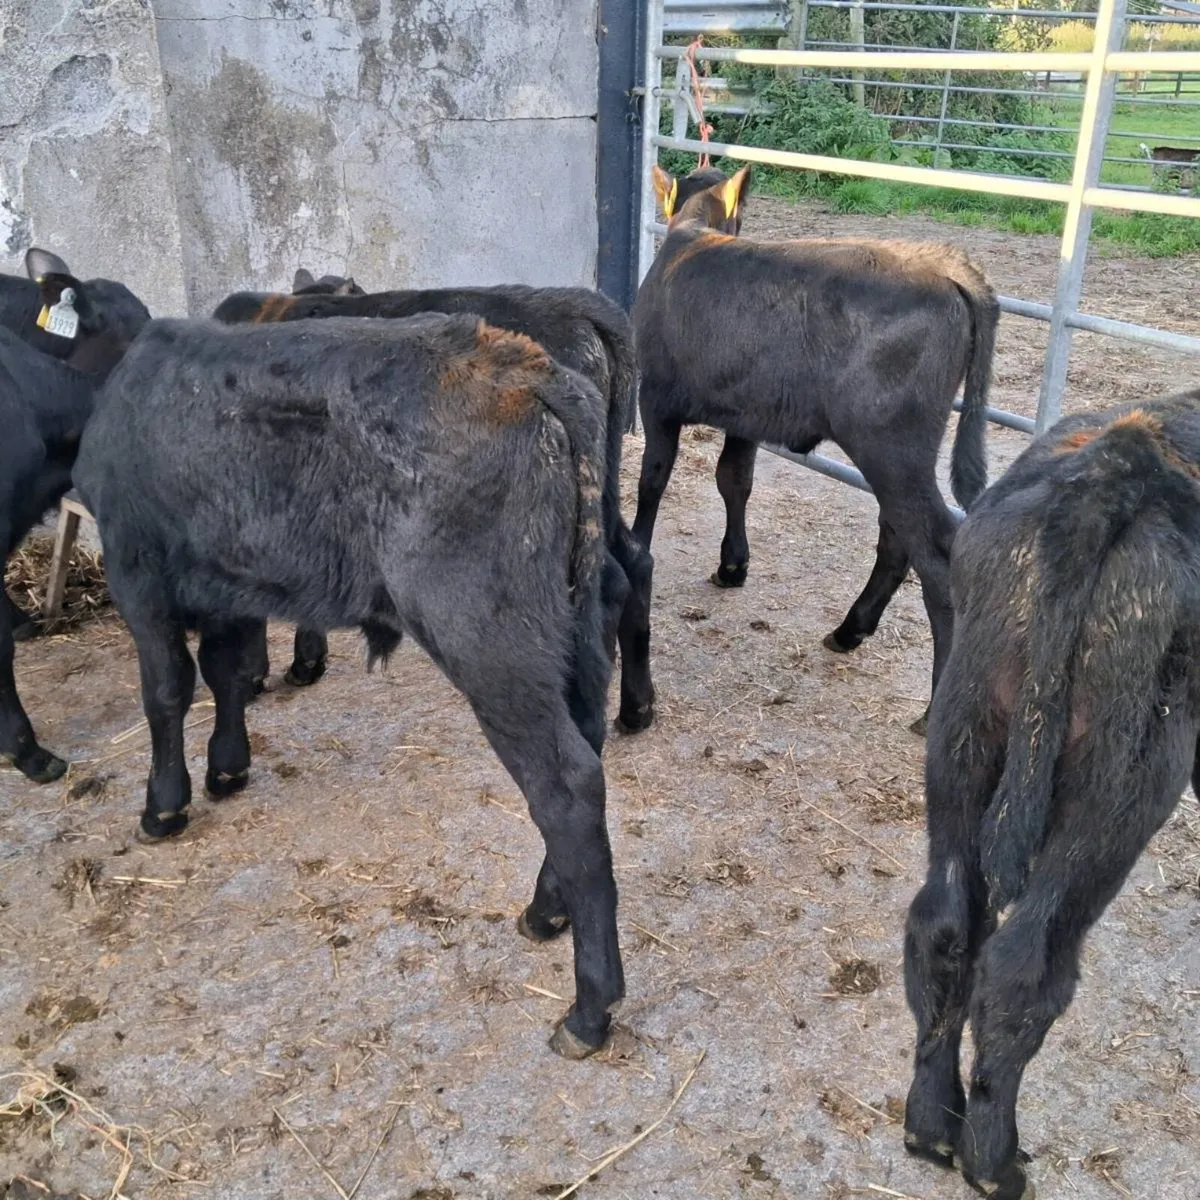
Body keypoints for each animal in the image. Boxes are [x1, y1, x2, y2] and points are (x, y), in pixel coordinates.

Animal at [72, 313, 624, 1059]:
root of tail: (525, 365)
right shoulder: (226, 582)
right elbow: (224, 672)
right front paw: (227, 768)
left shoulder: (137, 571)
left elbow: (166, 690)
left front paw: (164, 804)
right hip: (572, 626)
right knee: (587, 740)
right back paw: (546, 909)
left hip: (490, 642)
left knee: (567, 786)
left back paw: (589, 1008)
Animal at [623, 164, 998, 733]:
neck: (692, 233)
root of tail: (942, 264)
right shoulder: (746, 414)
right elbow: (734, 479)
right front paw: (733, 566)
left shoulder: (657, 399)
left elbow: (654, 477)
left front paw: (644, 538)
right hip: (897, 455)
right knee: (896, 537)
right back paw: (850, 629)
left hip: (890, 446)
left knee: (936, 554)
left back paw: (934, 711)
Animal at [903, 390, 1200, 1200]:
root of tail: (1117, 469)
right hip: (1120, 790)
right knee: (1024, 969)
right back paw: (993, 1162)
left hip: (964, 727)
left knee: (946, 926)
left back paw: (931, 1126)